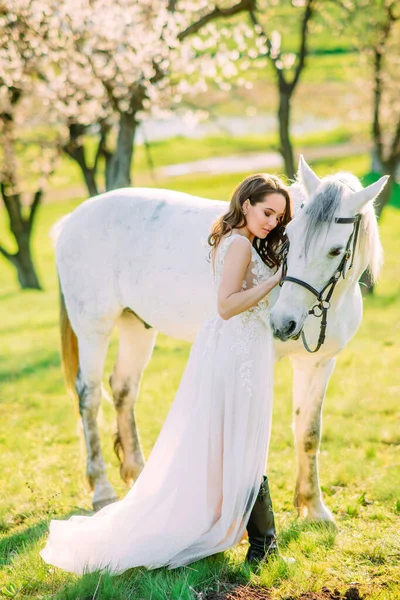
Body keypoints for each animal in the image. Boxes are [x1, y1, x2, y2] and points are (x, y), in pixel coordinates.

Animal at [54, 157, 388, 512]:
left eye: (336, 250)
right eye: (290, 237)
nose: (283, 323)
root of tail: (72, 220)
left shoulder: (319, 364)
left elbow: (308, 431)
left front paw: (313, 507)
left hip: (136, 328)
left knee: (123, 389)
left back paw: (137, 476)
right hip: (93, 329)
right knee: (89, 397)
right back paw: (102, 489)